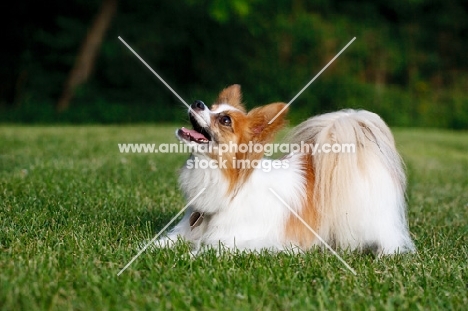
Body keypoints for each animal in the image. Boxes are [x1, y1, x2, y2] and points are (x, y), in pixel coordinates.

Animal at [159, 84, 414, 255]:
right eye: (211, 107)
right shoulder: (185, 232)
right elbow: (162, 242)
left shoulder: (240, 241)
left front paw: (185, 258)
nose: (197, 103)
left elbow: (202, 252)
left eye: (225, 120)